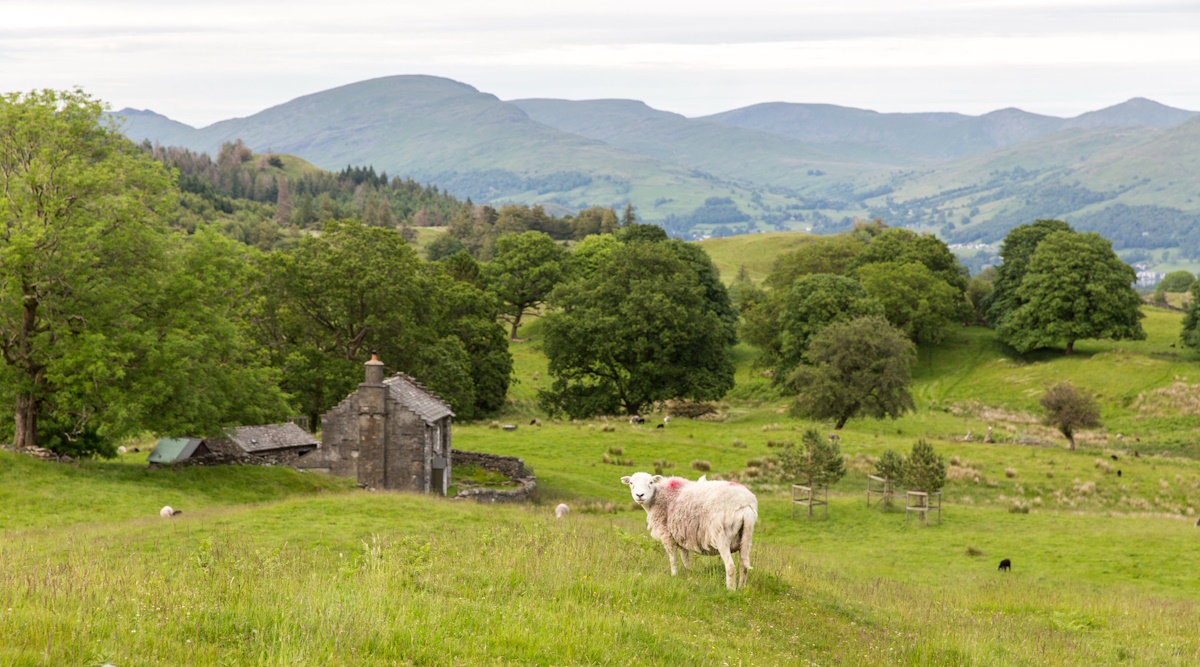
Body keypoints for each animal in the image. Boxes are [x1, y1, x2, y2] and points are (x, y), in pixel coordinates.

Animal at [624, 467, 753, 587]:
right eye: (631, 483)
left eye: (650, 482)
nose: (639, 495)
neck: (657, 498)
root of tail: (744, 504)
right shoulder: (682, 536)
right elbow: (685, 558)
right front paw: (688, 573)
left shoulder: (667, 535)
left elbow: (673, 558)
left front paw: (674, 575)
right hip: (746, 537)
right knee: (744, 566)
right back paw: (741, 588)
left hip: (722, 535)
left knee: (731, 567)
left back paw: (731, 590)